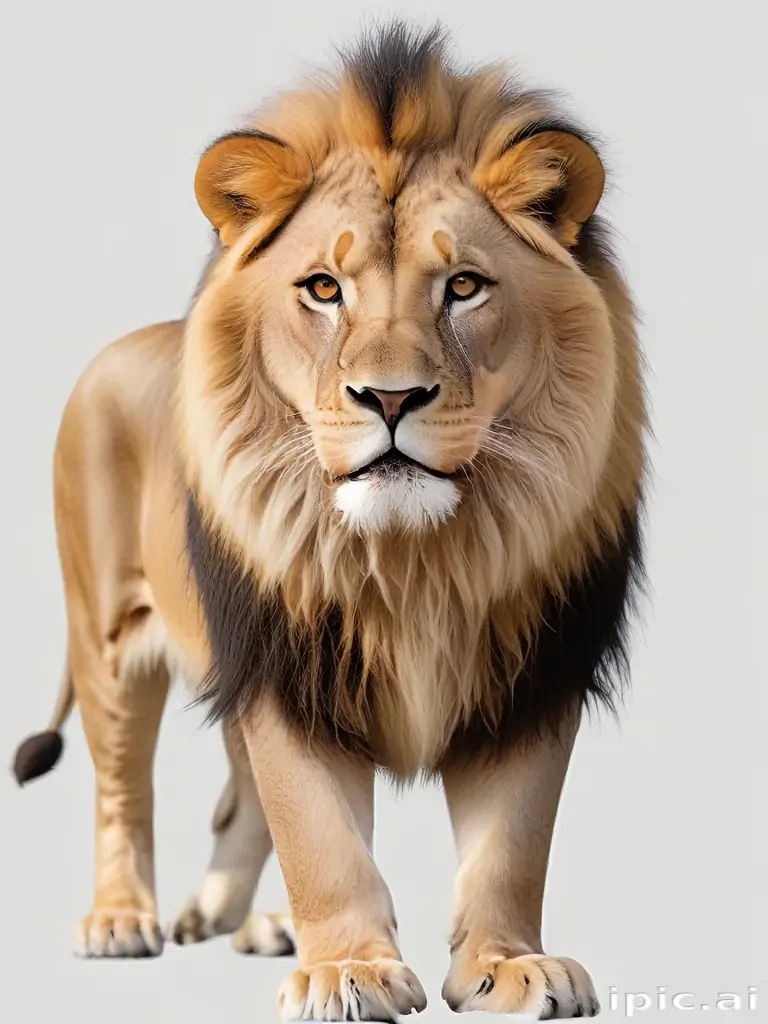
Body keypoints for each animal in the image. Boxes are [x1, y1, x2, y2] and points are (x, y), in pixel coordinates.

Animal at [12, 22, 645, 1021]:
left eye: (464, 286)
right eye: (321, 289)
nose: (390, 397)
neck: (417, 558)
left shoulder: (537, 664)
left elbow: (511, 844)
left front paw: (508, 967)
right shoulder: (283, 659)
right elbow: (316, 834)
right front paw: (349, 968)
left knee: (235, 800)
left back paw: (244, 921)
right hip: (108, 635)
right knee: (121, 787)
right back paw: (121, 921)